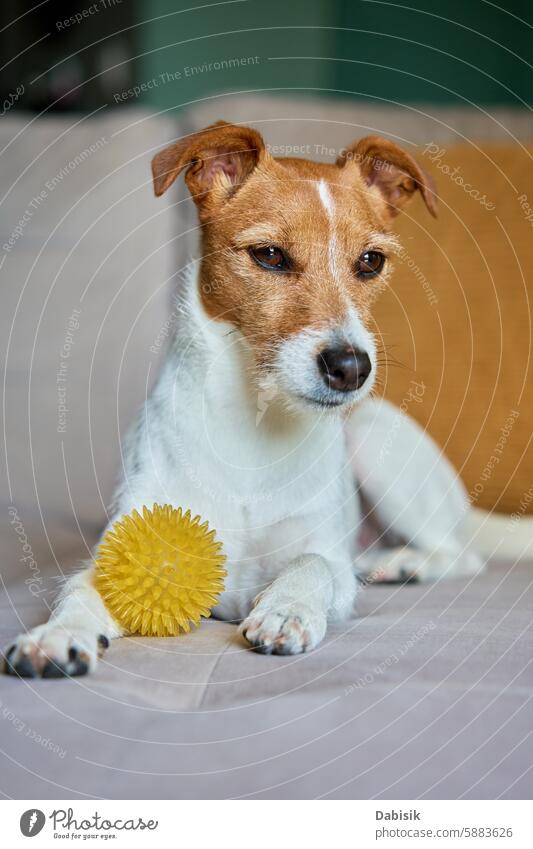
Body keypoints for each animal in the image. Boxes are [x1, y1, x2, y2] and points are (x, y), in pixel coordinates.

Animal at [3, 121, 482, 676]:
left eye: (370, 261)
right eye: (270, 255)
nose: (351, 369)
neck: (254, 426)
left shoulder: (323, 556)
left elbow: (315, 563)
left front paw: (287, 609)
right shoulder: (127, 547)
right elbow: (80, 590)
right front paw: (55, 636)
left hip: (372, 437)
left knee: (462, 553)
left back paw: (404, 562)